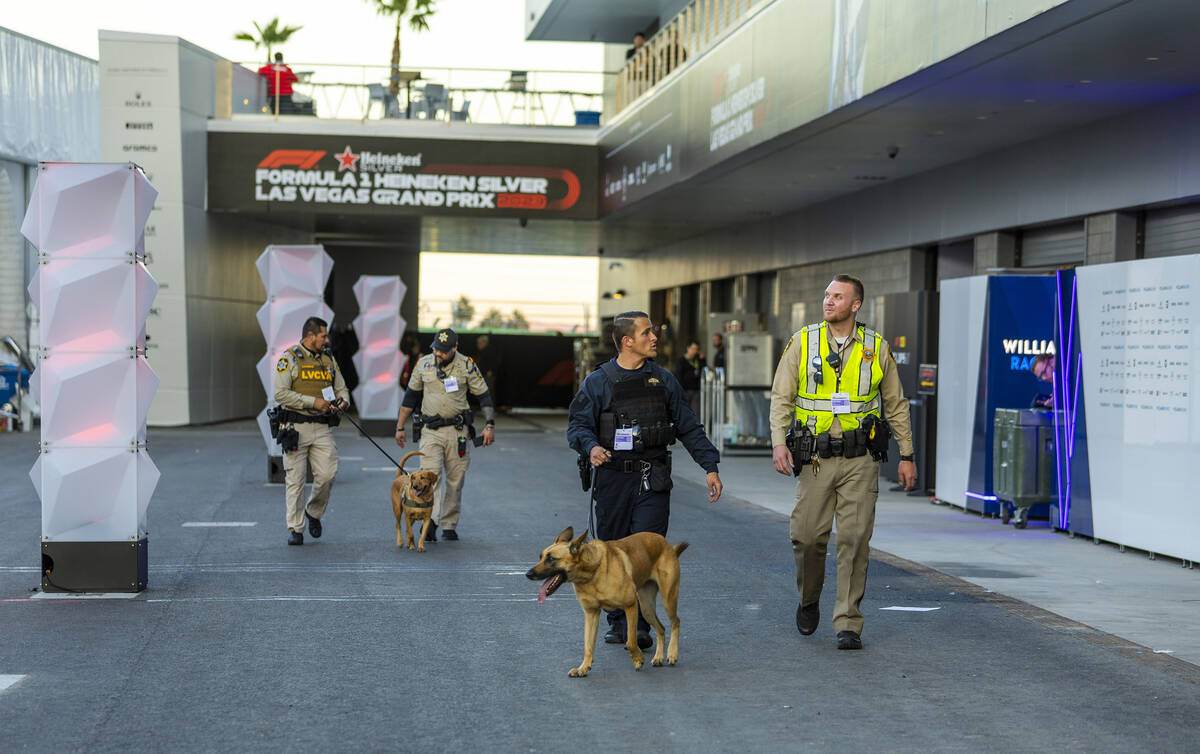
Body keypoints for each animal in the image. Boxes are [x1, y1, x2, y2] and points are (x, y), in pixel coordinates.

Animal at [523, 523, 686, 677]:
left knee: (675, 622)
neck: (592, 573)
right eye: (541, 557)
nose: (528, 574)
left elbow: (631, 641)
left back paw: (672, 653)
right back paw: (659, 657)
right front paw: (583, 668)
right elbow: (588, 645)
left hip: (667, 599)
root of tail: (665, 543)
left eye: (551, 559)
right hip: (647, 609)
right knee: (661, 628)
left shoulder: (631, 606)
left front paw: (638, 659)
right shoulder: (591, 614)